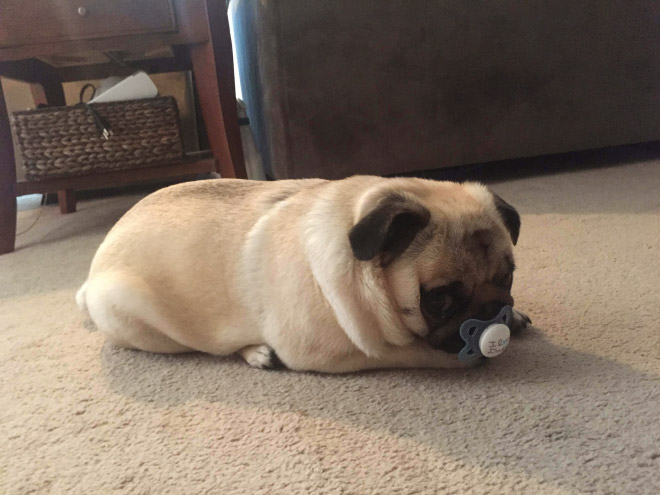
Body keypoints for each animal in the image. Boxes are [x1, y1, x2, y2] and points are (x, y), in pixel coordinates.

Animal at [77, 176, 532, 374]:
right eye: (440, 299)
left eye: (508, 278)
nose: (493, 311)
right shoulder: (337, 353)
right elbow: (422, 353)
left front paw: (515, 316)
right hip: (148, 326)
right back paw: (256, 352)